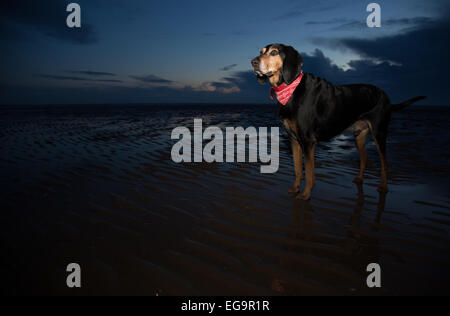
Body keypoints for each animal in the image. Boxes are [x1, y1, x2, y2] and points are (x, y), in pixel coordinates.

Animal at [253, 43, 426, 200]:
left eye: (274, 52)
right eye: (261, 52)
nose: (253, 62)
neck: (289, 88)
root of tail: (386, 97)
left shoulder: (308, 141)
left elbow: (309, 173)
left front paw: (305, 195)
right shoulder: (294, 140)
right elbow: (297, 169)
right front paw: (295, 189)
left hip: (379, 132)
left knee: (384, 162)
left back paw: (383, 186)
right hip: (359, 135)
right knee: (364, 158)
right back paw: (360, 179)